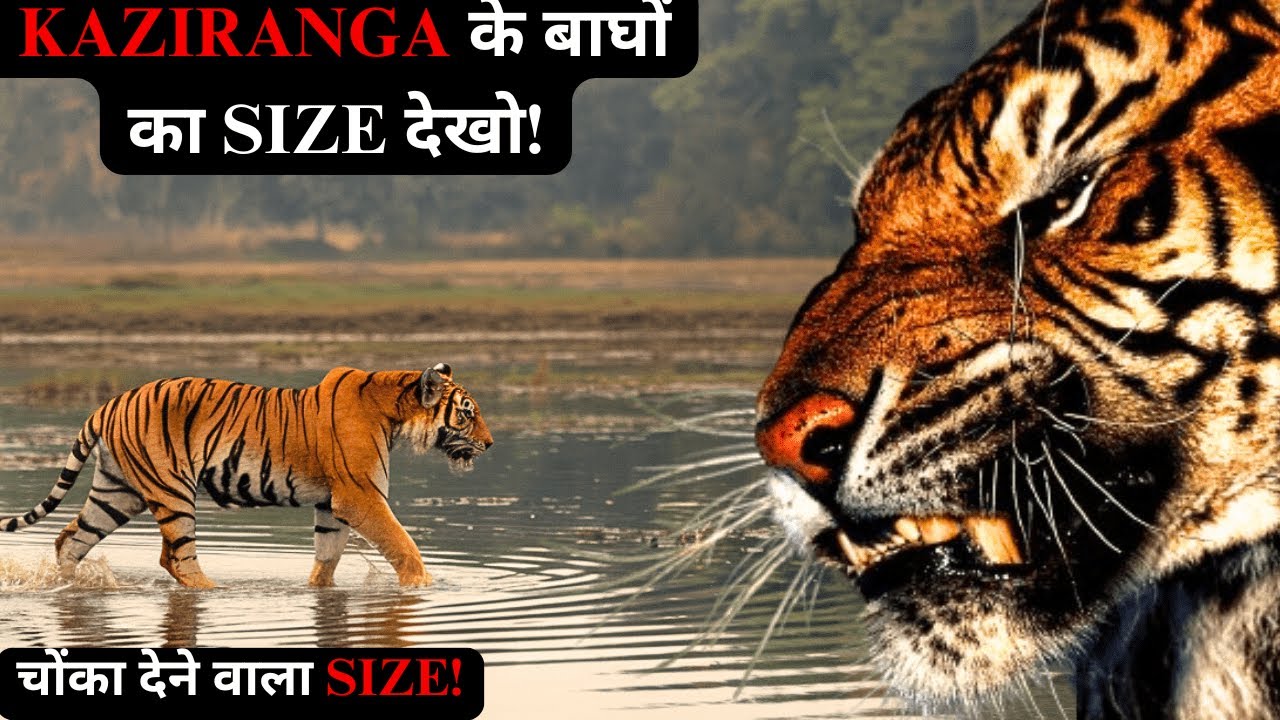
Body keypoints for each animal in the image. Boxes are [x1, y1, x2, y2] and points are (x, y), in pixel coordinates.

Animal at [0, 363, 492, 589]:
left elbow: (327, 555)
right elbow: (402, 544)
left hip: (118, 491)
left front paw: (317, 590)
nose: (489, 444)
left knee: (71, 539)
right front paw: (423, 586)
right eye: (467, 414)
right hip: (171, 489)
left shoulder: (332, 503)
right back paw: (212, 590)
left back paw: (68, 586)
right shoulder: (360, 496)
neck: (393, 410)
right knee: (177, 556)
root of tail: (108, 403)